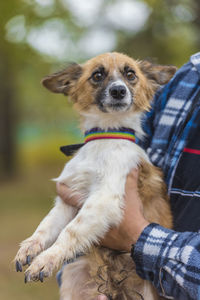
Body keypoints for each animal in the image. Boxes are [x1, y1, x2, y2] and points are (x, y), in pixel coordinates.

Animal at [15, 52, 175, 298]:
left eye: (131, 74)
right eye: (97, 75)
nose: (118, 91)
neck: (105, 137)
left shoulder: (104, 198)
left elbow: (70, 231)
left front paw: (46, 259)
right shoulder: (67, 200)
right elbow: (47, 225)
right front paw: (31, 246)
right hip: (74, 277)